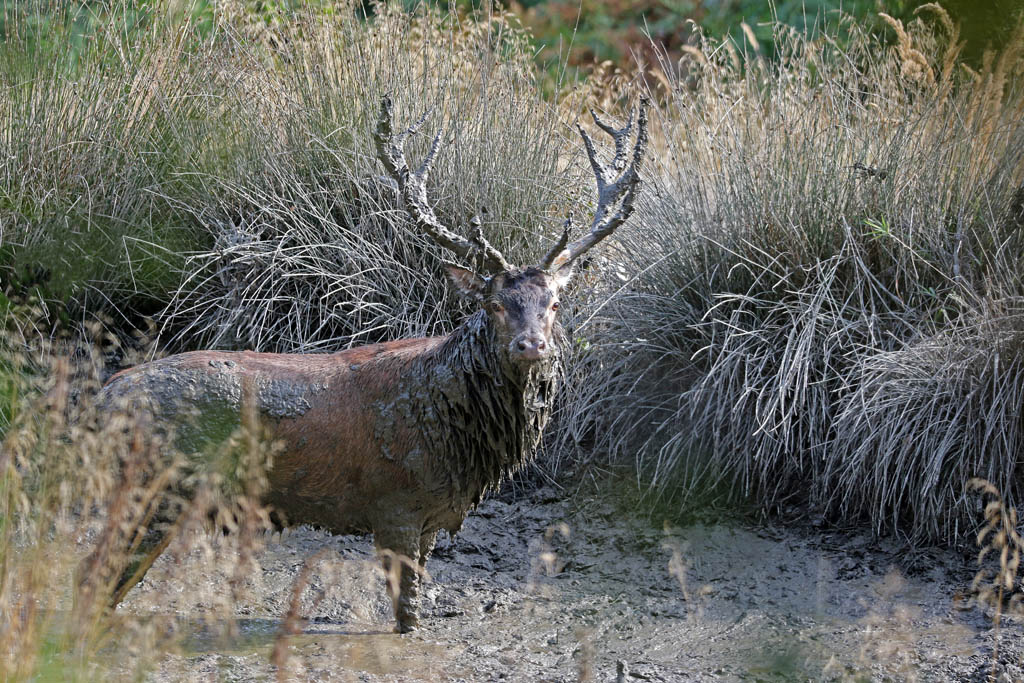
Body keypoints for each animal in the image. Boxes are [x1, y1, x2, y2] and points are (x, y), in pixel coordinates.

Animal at [83, 96, 648, 633]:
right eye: (493, 304)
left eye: (553, 302)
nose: (532, 346)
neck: (460, 436)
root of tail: (105, 394)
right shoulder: (395, 500)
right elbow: (406, 614)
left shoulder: (431, 514)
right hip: (152, 488)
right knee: (95, 574)